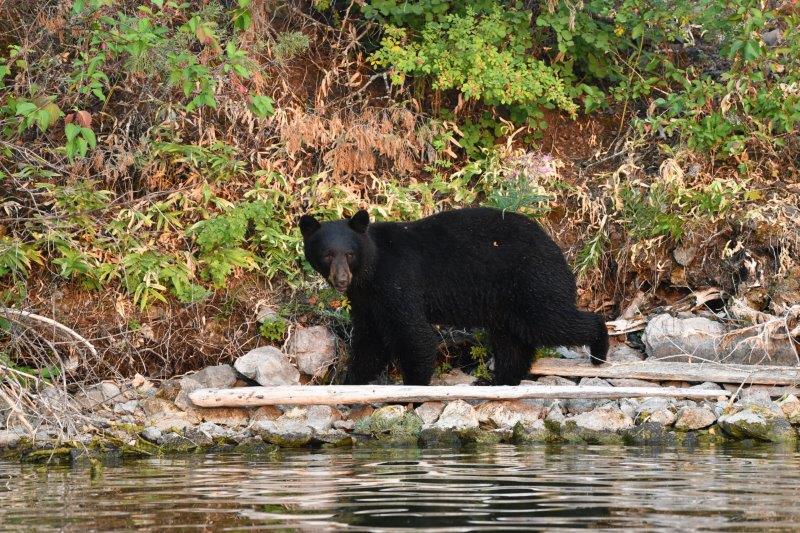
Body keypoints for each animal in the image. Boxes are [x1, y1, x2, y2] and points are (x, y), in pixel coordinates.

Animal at [298, 206, 608, 384]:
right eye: (327, 254)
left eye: (349, 254)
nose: (341, 279)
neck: (370, 269)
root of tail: (556, 249)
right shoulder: (367, 300)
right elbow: (370, 343)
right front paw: (350, 384)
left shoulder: (397, 282)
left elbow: (415, 335)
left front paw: (413, 389)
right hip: (505, 299)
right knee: (512, 340)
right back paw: (498, 381)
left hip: (531, 279)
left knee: (548, 322)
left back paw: (599, 349)